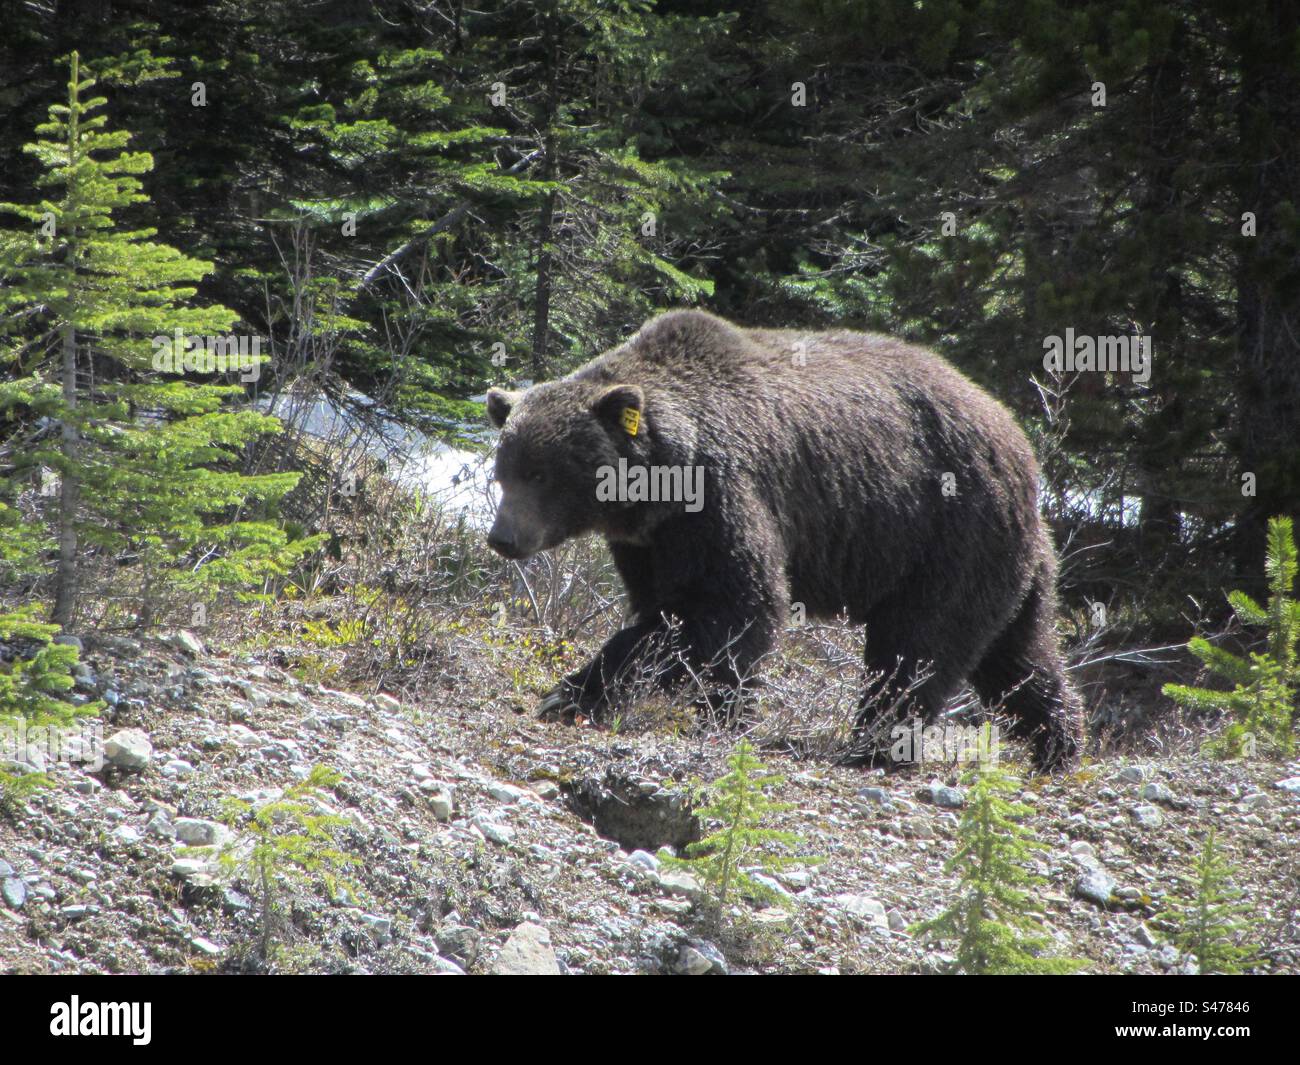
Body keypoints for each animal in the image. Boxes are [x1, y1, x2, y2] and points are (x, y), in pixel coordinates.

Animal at [485, 309, 1082, 771]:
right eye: (504, 470)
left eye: (541, 473)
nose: (502, 537)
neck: (655, 485)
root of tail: (1020, 443)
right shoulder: (648, 541)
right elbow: (665, 607)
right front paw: (580, 692)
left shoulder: (721, 493)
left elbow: (732, 604)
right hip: (1006, 560)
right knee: (1020, 655)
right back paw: (1059, 744)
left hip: (948, 532)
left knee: (919, 643)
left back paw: (876, 745)